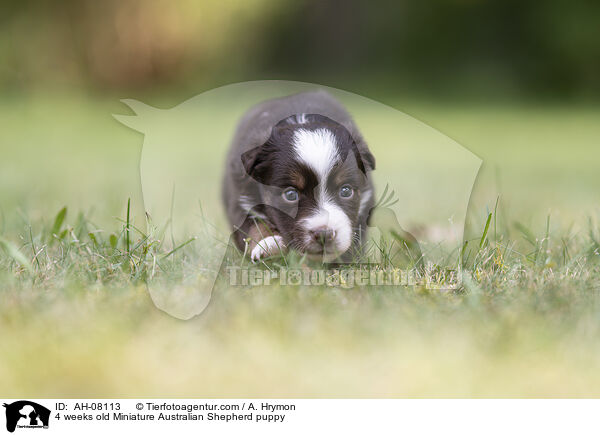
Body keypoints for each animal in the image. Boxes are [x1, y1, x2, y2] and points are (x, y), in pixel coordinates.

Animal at [220, 91, 376, 262]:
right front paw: (268, 244)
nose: (324, 234)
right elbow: (253, 226)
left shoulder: (366, 199)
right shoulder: (240, 199)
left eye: (346, 191)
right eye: (290, 195)